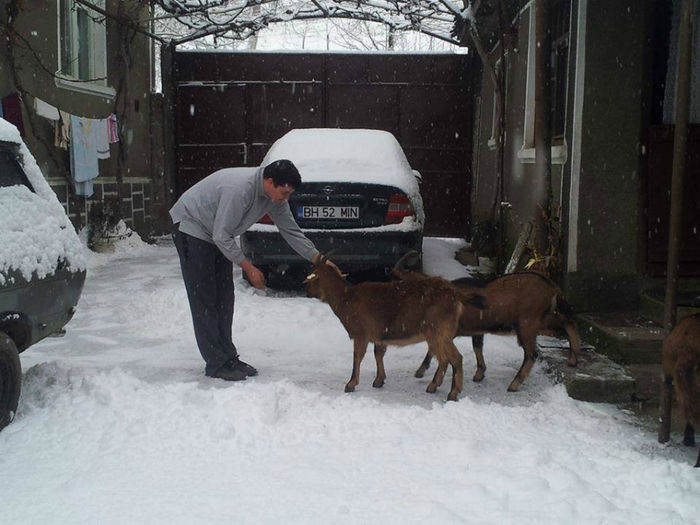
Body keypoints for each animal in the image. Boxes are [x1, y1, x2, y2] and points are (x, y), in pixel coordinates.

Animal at [304, 255, 484, 402]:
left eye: (312, 275)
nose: (305, 290)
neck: (346, 298)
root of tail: (456, 294)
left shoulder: (361, 332)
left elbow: (358, 357)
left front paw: (351, 384)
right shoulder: (379, 335)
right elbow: (378, 353)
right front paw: (378, 380)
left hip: (439, 331)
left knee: (455, 358)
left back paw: (453, 393)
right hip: (436, 334)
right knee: (444, 359)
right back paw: (433, 386)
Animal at [394, 258, 580, 388]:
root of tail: (552, 287)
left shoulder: (445, 331)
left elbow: (433, 350)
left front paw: (420, 371)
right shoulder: (476, 330)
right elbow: (477, 347)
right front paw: (479, 374)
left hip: (527, 323)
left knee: (532, 353)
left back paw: (514, 384)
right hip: (542, 318)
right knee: (567, 322)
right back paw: (573, 359)